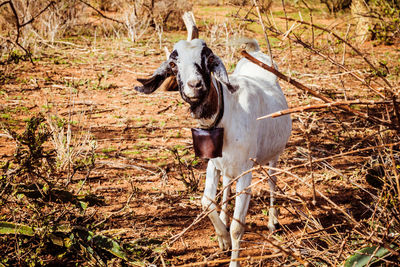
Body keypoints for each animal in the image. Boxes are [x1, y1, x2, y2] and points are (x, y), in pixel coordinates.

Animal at [134, 38, 290, 266]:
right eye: (173, 64)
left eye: (207, 59)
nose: (195, 85)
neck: (225, 114)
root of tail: (257, 53)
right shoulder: (212, 164)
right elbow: (206, 201)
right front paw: (222, 238)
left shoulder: (246, 170)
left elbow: (237, 227)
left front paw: (233, 258)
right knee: (226, 185)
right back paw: (224, 219)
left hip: (273, 155)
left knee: (272, 182)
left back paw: (272, 221)